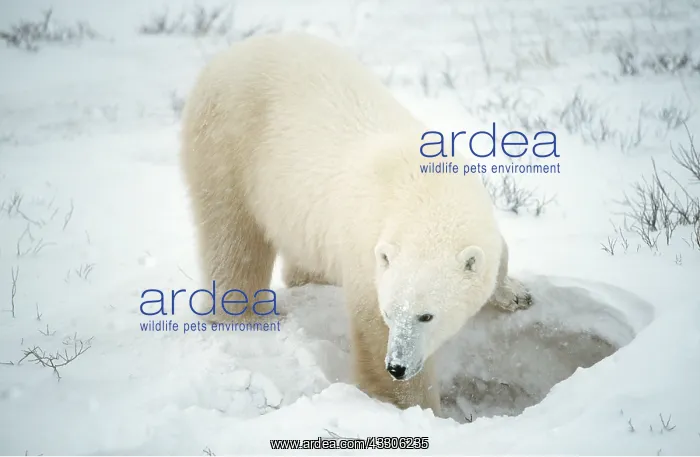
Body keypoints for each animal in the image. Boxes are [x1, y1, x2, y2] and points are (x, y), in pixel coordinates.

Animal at [180, 32, 532, 416]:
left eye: (426, 316)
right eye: (391, 312)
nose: (397, 366)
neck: (426, 195)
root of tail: (226, 57)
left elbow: (498, 254)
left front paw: (514, 292)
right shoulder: (369, 257)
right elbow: (373, 332)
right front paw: (415, 405)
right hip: (226, 142)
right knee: (233, 238)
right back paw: (241, 315)